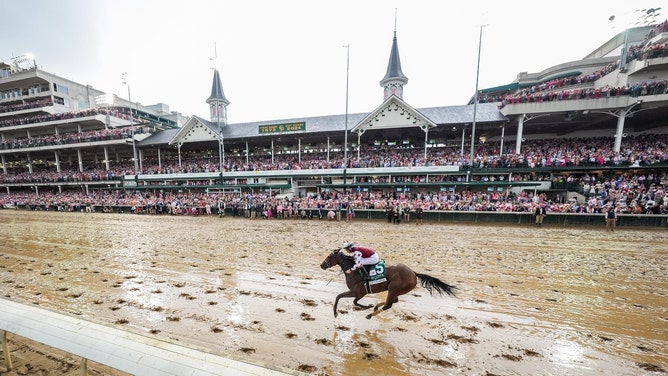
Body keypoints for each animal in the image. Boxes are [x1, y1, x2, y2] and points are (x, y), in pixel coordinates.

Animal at [318, 248, 454, 318]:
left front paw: (335, 312)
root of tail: (414, 273)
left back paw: (370, 314)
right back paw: (375, 307)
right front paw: (368, 306)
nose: (322, 265)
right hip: (396, 290)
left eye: (329, 257)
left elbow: (340, 297)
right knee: (393, 301)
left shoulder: (357, 292)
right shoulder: (360, 293)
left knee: (388, 305)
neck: (354, 271)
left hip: (394, 288)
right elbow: (354, 301)